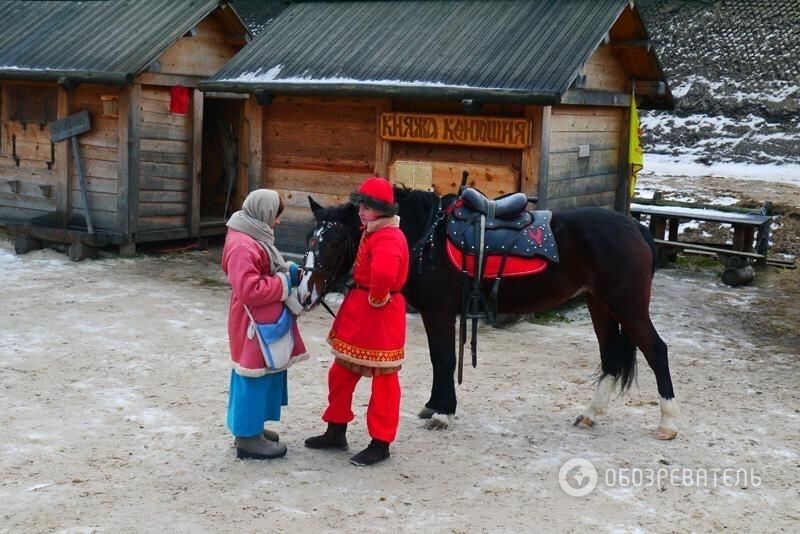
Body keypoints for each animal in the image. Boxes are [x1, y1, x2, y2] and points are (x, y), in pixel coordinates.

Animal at [296, 191, 680, 442]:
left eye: (335, 242)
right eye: (309, 237)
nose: (304, 293)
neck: (425, 238)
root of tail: (636, 227)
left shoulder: (439, 311)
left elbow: (445, 359)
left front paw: (444, 412)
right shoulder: (435, 313)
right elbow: (437, 359)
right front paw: (434, 405)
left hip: (627, 306)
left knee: (656, 351)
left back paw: (668, 423)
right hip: (599, 304)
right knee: (610, 356)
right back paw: (590, 414)